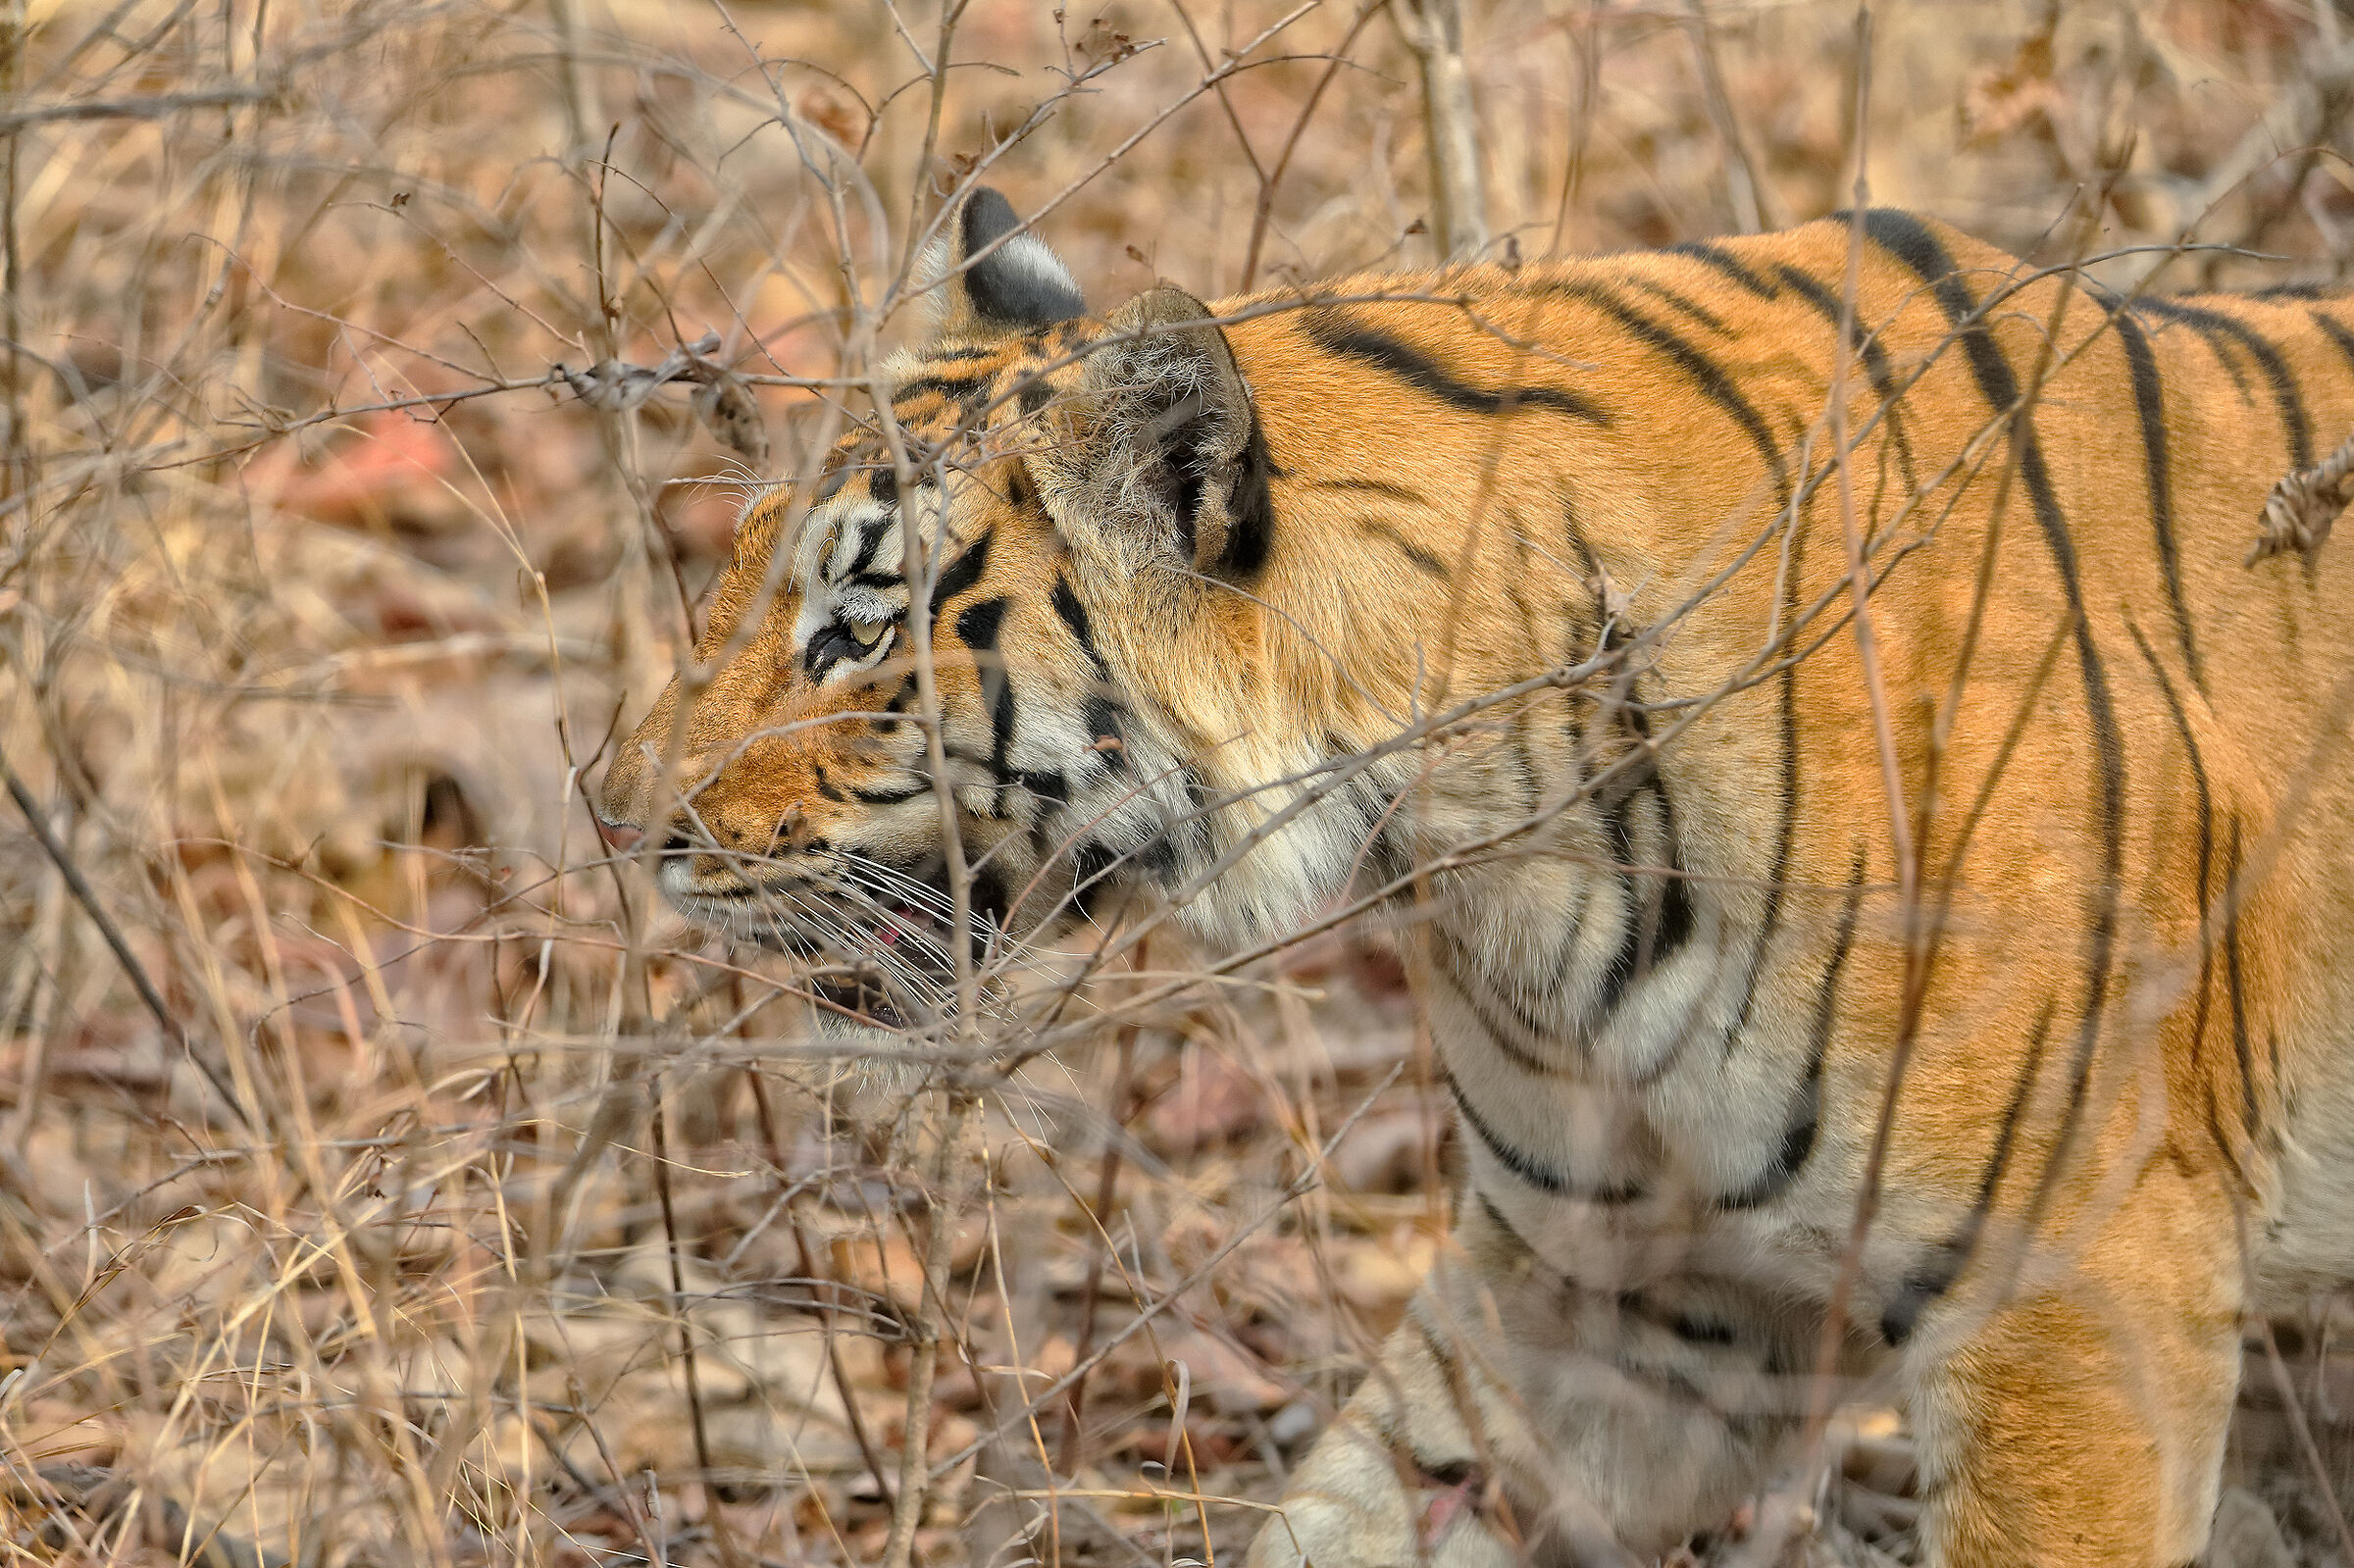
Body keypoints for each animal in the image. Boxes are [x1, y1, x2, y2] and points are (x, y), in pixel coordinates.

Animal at [594, 185, 2354, 1566]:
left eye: (855, 629)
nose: (611, 816)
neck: (1499, 841)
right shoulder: (1615, 1302)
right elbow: (1366, 1498)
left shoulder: (2079, 1294)